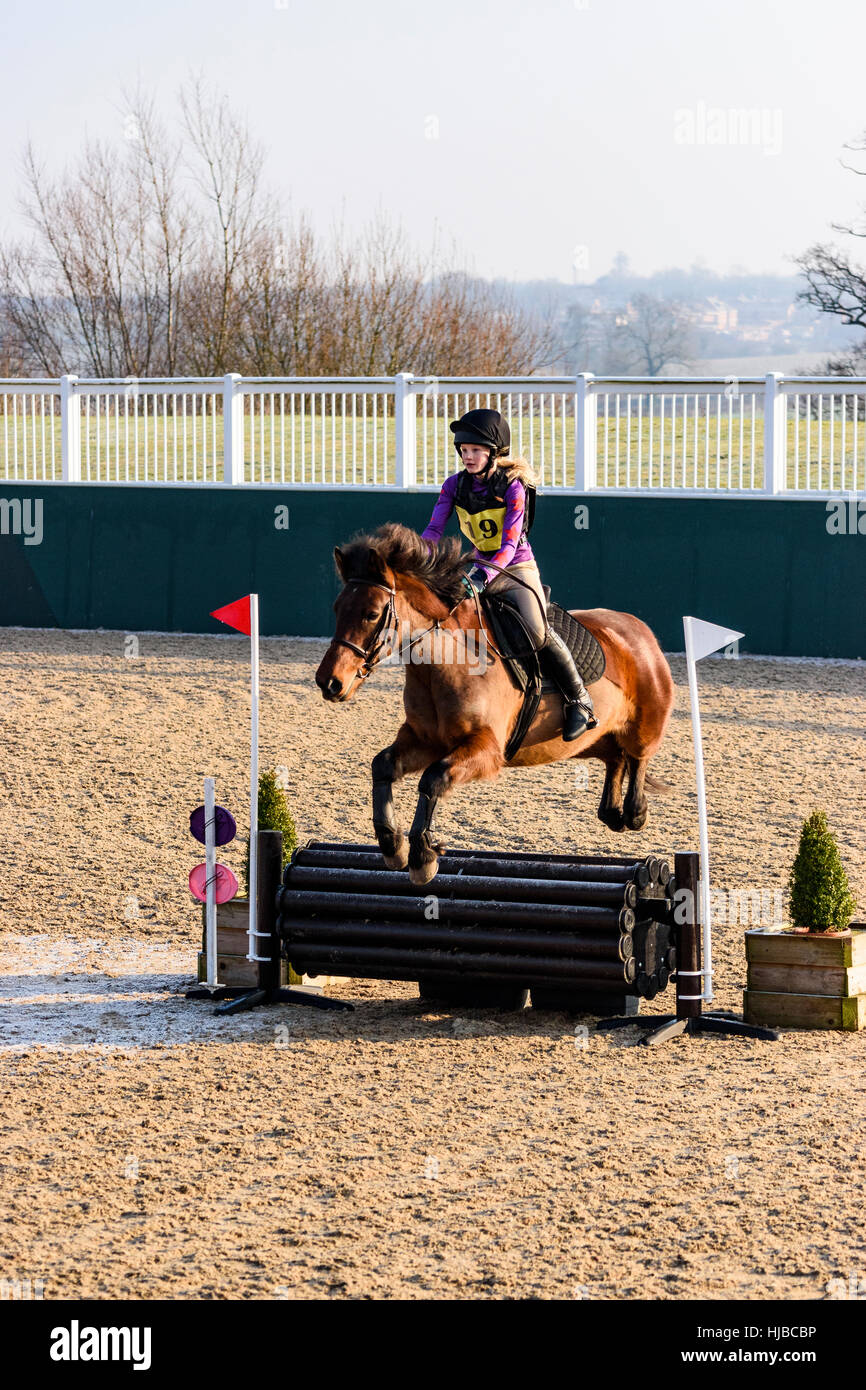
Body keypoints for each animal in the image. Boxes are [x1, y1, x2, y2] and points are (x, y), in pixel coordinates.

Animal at [315, 523, 675, 885]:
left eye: (372, 614)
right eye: (336, 609)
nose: (328, 682)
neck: (445, 662)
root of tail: (639, 630)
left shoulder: (487, 749)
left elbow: (433, 778)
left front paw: (423, 855)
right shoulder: (425, 739)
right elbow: (383, 766)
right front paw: (393, 845)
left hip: (643, 725)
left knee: (637, 756)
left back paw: (635, 812)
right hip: (592, 742)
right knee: (615, 758)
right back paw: (612, 811)